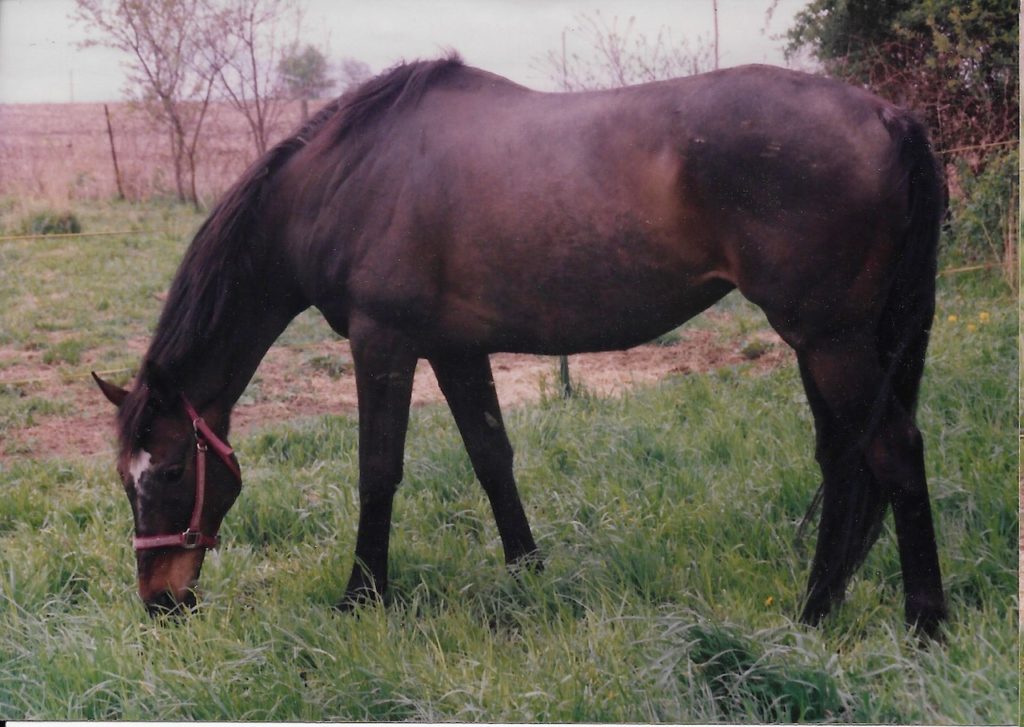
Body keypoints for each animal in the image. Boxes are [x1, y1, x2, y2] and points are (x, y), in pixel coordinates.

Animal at [92, 55, 946, 638]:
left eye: (169, 471)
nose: (162, 601)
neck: (345, 179)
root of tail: (889, 117)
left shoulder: (384, 342)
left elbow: (377, 470)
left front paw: (361, 596)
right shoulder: (455, 349)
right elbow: (491, 457)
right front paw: (530, 575)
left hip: (832, 340)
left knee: (893, 450)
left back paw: (924, 622)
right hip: (824, 342)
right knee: (843, 461)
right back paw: (814, 612)